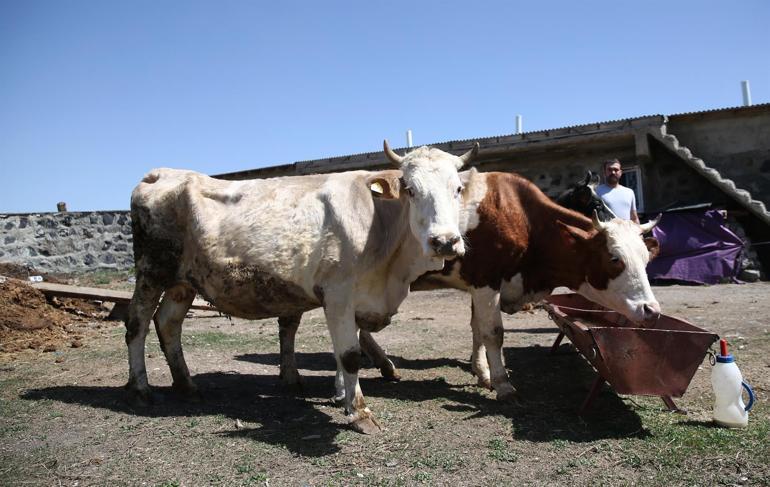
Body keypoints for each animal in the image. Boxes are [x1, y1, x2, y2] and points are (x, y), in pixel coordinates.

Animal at [124, 141, 476, 434]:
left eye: (458, 189)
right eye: (411, 190)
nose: (445, 241)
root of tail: (160, 173)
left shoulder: (354, 300)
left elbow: (344, 349)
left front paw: (342, 398)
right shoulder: (338, 293)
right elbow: (349, 355)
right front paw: (360, 413)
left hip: (182, 281)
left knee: (168, 323)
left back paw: (186, 385)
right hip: (151, 270)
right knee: (137, 325)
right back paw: (141, 389)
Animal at [278, 170, 660, 402]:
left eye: (646, 258)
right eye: (615, 259)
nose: (651, 310)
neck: (520, 215)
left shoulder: (479, 284)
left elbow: (477, 328)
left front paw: (482, 372)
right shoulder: (487, 280)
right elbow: (493, 332)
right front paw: (502, 382)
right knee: (297, 324)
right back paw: (308, 378)